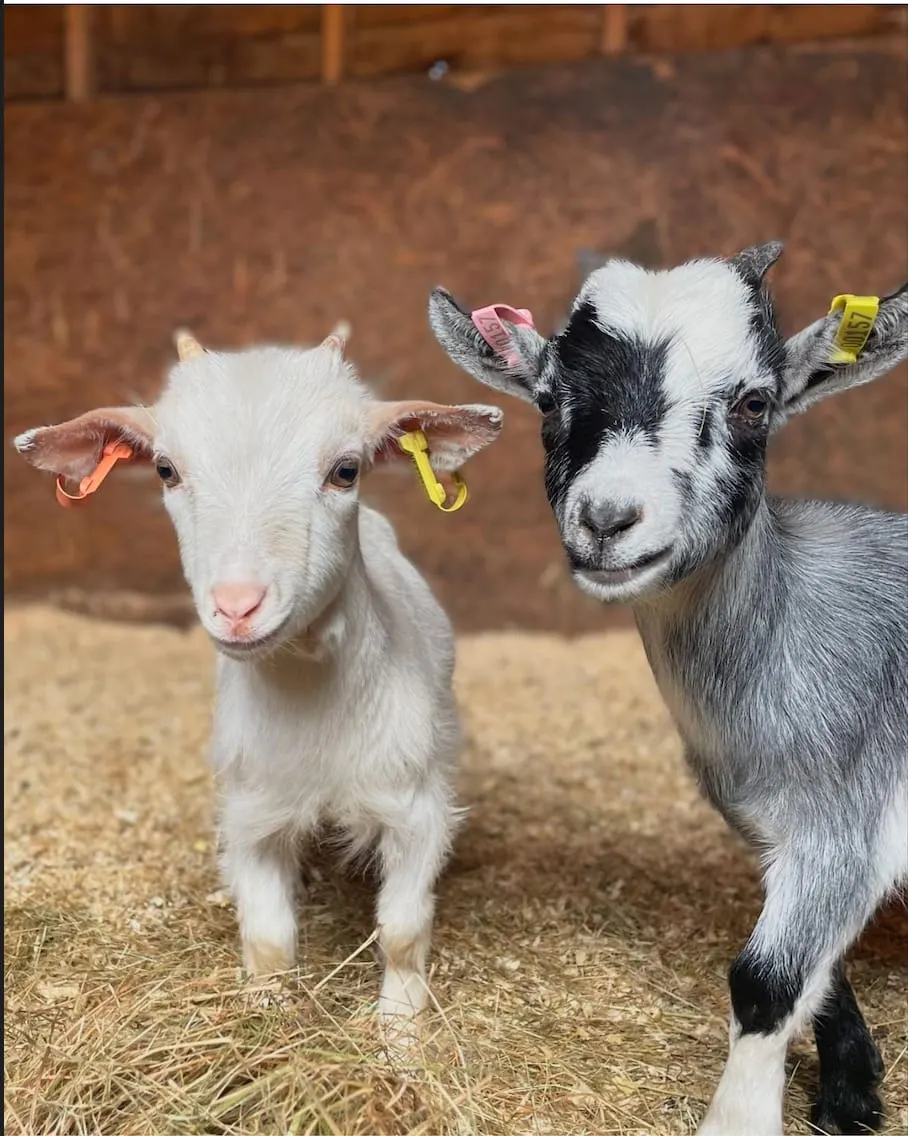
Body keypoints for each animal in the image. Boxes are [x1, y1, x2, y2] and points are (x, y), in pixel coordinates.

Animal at [15, 326, 504, 1036]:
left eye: (346, 469)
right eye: (166, 469)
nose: (238, 606)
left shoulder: (416, 805)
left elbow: (402, 929)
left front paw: (400, 1029)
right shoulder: (252, 810)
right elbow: (269, 938)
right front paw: (269, 1013)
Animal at [428, 243, 908, 1134]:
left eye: (755, 403)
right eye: (547, 399)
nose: (607, 519)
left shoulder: (848, 815)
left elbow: (765, 982)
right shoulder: (779, 833)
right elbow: (815, 971)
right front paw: (852, 1090)